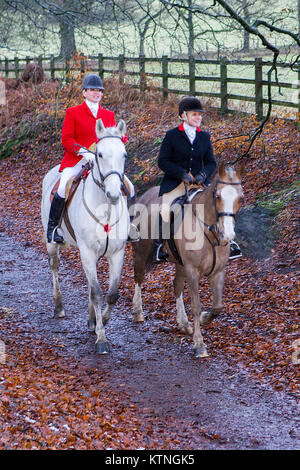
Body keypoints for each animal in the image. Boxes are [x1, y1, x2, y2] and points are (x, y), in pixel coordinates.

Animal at [40, 119, 127, 354]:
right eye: (100, 155)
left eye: (124, 154)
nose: (114, 194)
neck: (105, 209)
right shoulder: (87, 252)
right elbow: (97, 292)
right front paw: (101, 339)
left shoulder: (117, 253)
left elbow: (112, 293)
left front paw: (100, 321)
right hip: (52, 241)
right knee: (55, 267)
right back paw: (59, 306)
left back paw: (90, 319)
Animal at [131, 163, 244, 358]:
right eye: (218, 196)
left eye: (241, 198)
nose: (228, 235)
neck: (208, 232)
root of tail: (144, 196)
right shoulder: (192, 271)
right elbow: (196, 305)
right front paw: (199, 344)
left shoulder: (218, 271)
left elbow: (217, 306)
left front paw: (205, 318)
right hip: (141, 253)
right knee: (138, 278)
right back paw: (138, 312)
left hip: (179, 263)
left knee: (176, 285)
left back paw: (183, 324)